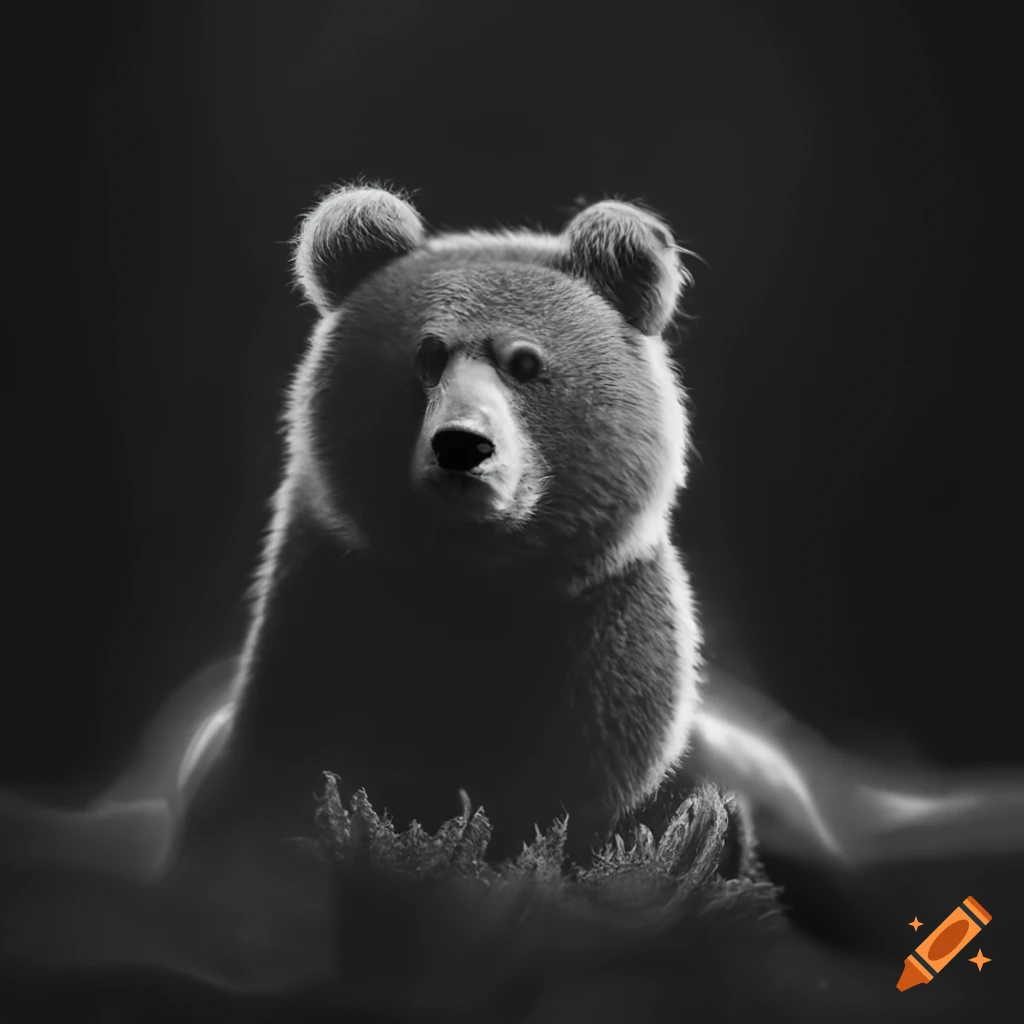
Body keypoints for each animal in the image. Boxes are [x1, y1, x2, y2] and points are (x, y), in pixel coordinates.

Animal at [196, 183, 703, 865]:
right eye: (428, 354)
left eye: (525, 363)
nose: (462, 445)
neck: (464, 583)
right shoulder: (327, 623)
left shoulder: (595, 652)